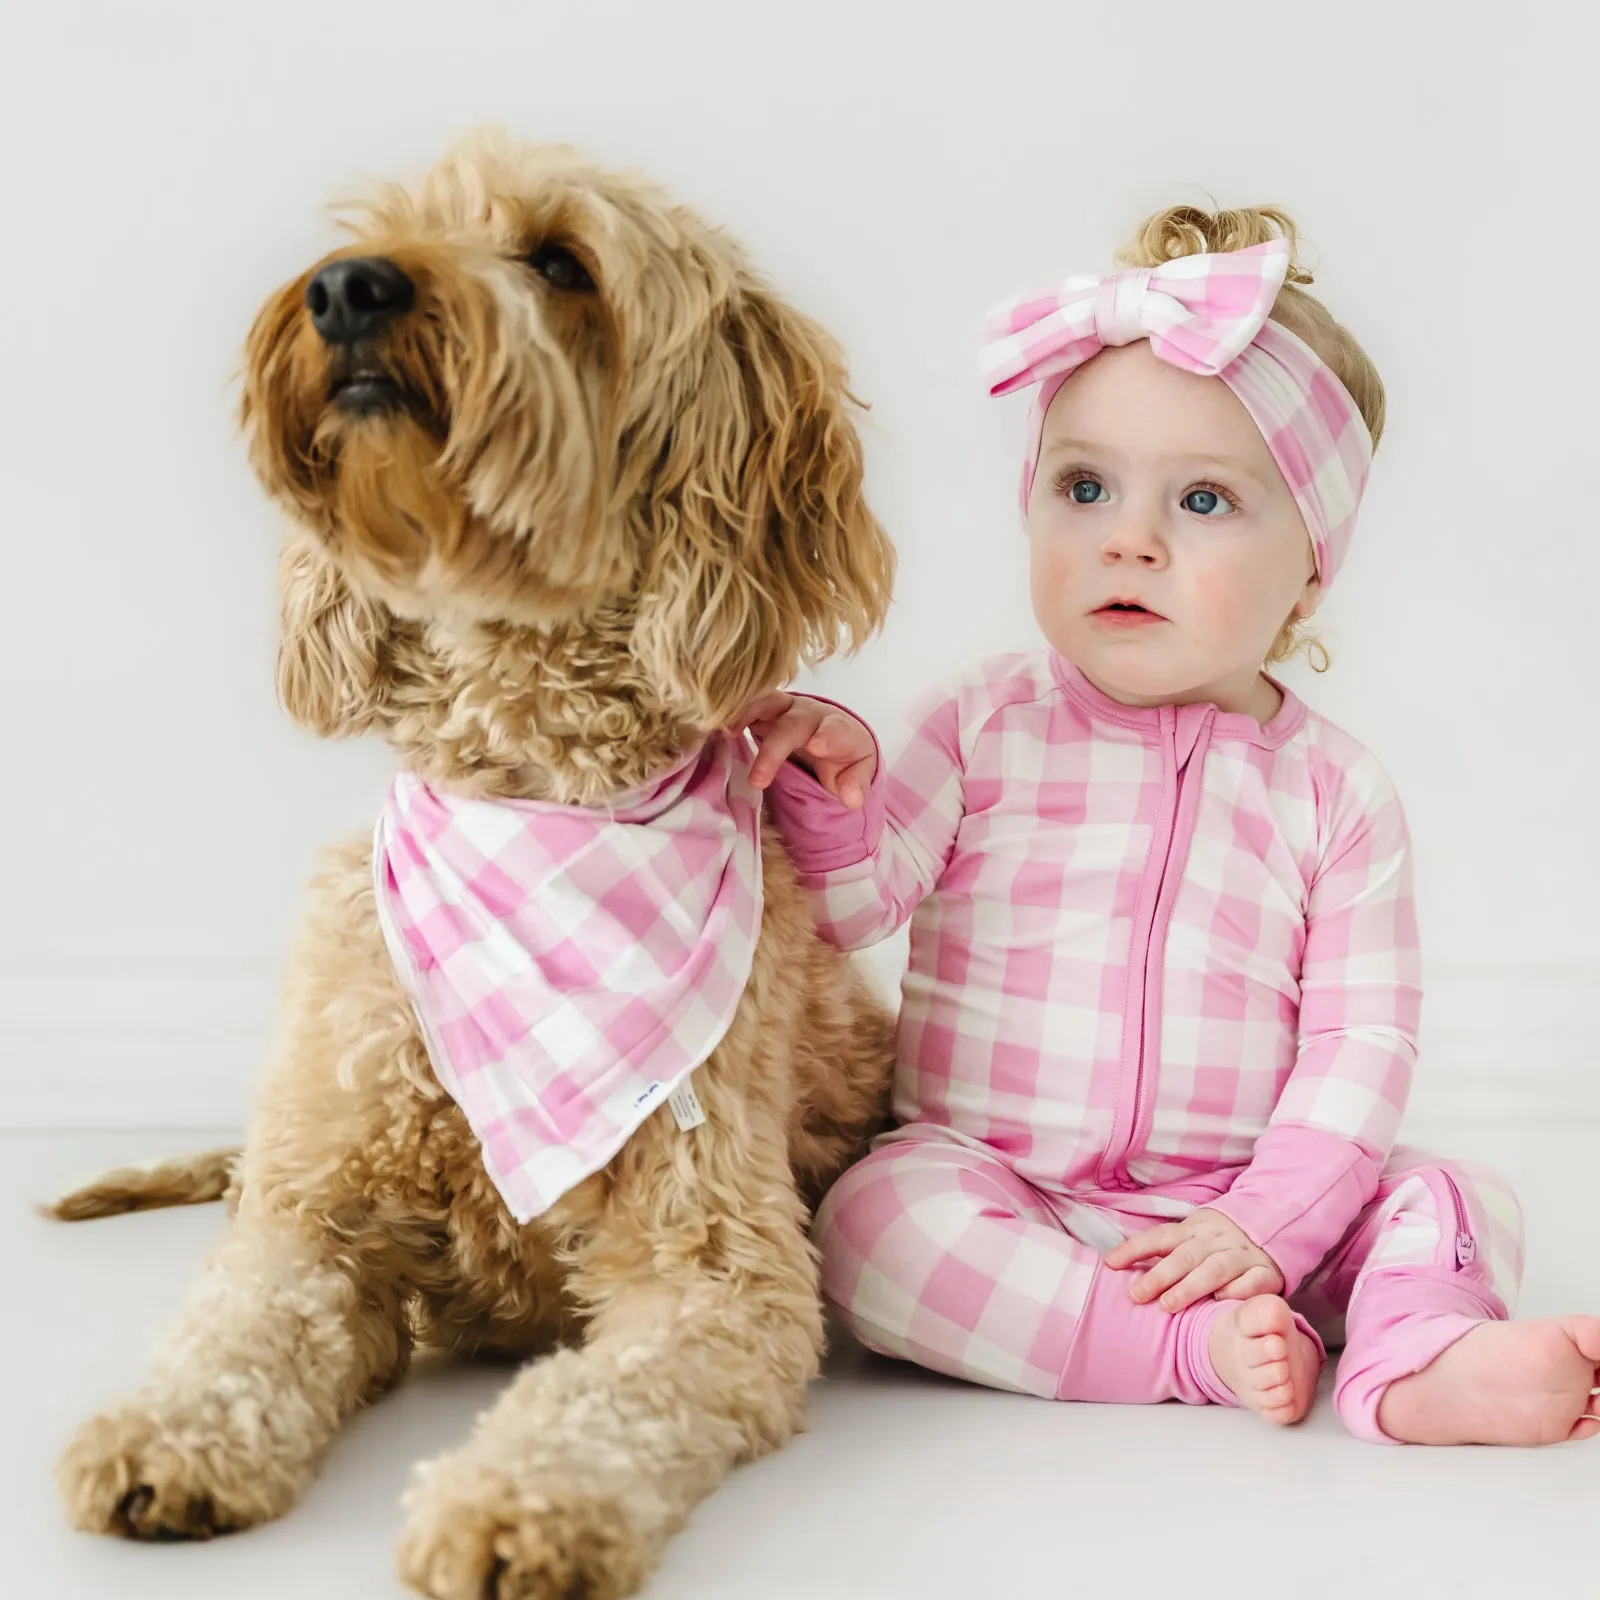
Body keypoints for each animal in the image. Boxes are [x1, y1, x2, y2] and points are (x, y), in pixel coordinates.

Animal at [50, 131, 896, 1593]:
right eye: (380, 228)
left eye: (560, 263)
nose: (345, 289)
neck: (533, 793)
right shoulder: (313, 1216)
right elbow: (236, 1323)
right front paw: (169, 1432)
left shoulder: (716, 1276)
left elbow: (600, 1402)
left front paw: (517, 1508)